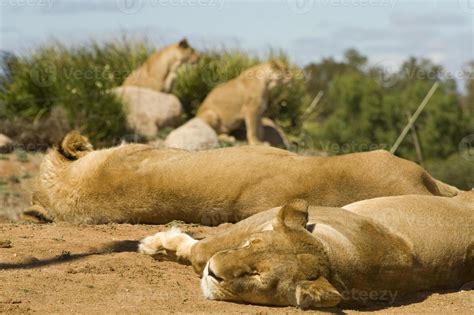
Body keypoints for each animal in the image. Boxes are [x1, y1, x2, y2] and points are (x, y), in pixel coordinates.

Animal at [139, 191, 472, 310]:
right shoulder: (270, 215)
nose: (213, 273)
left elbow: (200, 253)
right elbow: (208, 247)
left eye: (257, 277)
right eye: (249, 245)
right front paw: (161, 242)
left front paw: (163, 243)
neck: (333, 258)